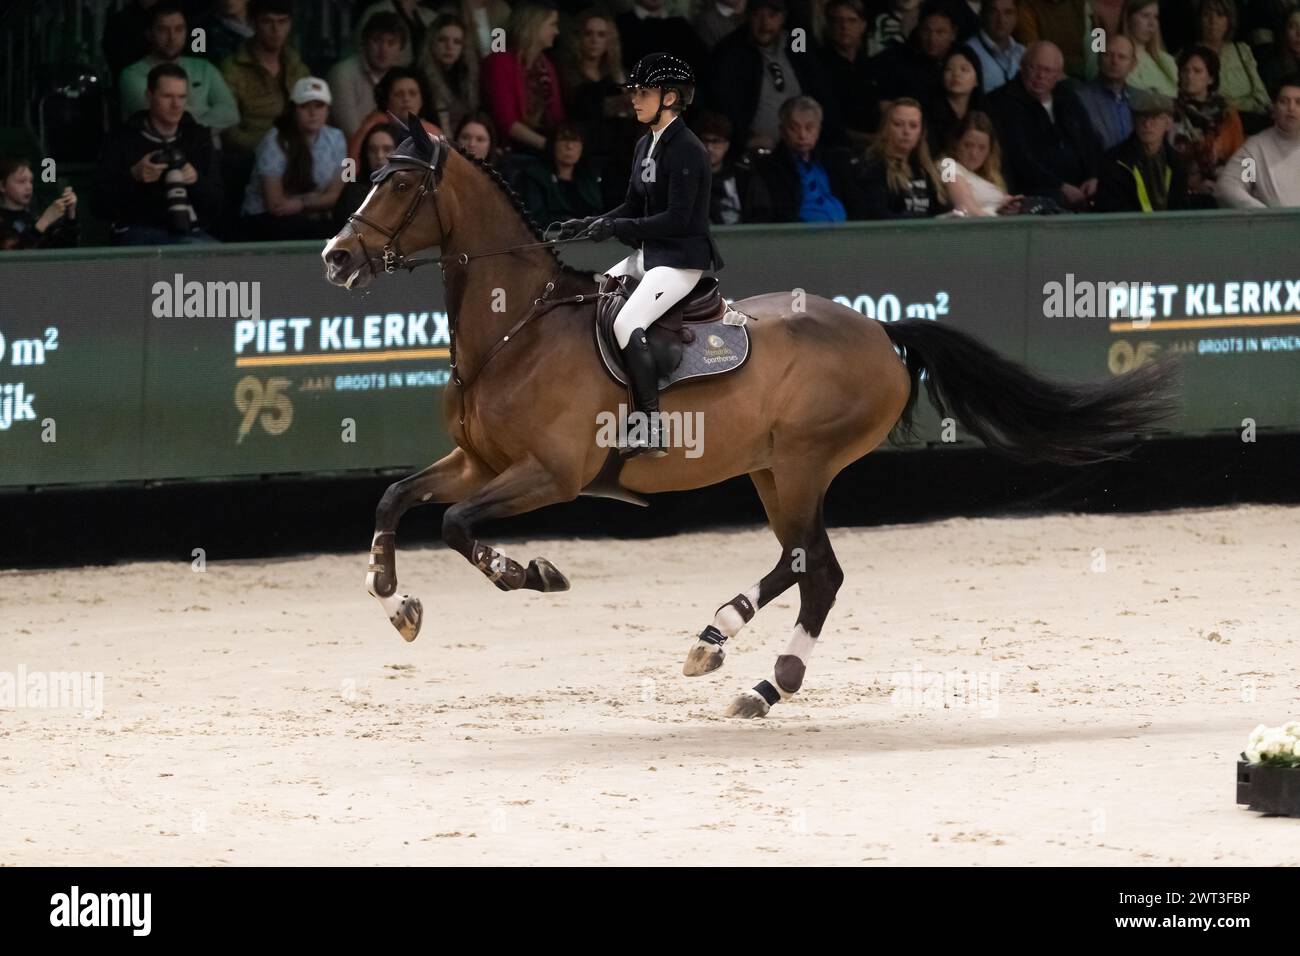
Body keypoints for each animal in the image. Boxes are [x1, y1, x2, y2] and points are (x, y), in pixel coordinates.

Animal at [322, 119, 1180, 717]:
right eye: (371, 176)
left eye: (396, 188)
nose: (335, 257)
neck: (516, 328)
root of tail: (881, 330)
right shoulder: (479, 462)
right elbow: (396, 499)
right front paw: (395, 600)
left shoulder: (549, 475)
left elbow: (457, 525)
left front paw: (528, 572)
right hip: (774, 470)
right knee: (810, 569)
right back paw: (740, 662)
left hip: (801, 465)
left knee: (814, 569)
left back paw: (739, 656)